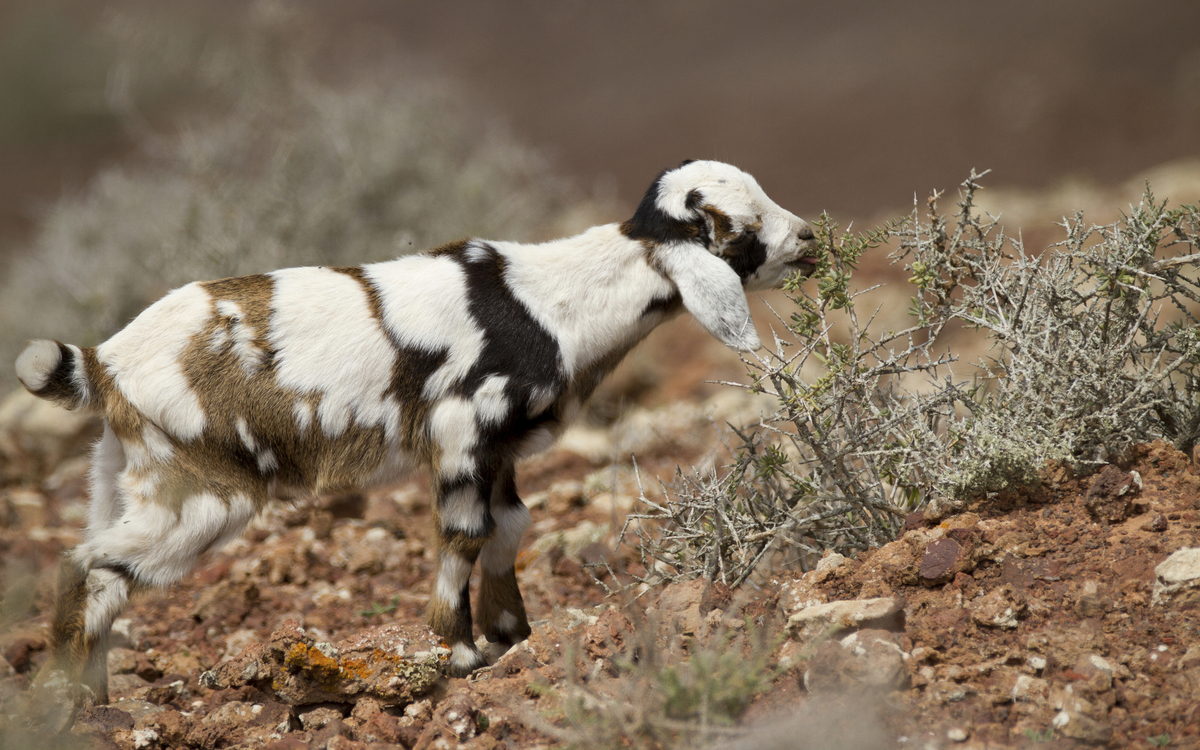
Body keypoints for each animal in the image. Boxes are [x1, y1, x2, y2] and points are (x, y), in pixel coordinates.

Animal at [15, 159, 817, 702]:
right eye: (739, 228)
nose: (810, 237)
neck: (550, 301)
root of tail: (105, 361)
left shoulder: (501, 452)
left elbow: (512, 527)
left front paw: (512, 635)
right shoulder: (463, 432)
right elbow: (464, 535)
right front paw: (458, 652)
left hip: (124, 480)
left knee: (96, 573)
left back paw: (91, 699)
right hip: (207, 499)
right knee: (86, 565)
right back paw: (71, 703)